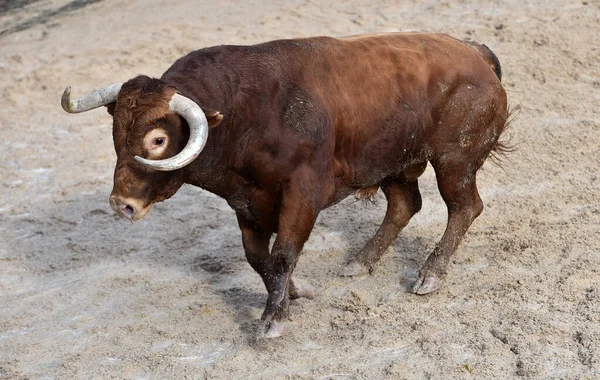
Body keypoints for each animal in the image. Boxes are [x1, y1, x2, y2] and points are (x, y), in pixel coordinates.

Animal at [62, 32, 510, 338]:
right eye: (116, 132)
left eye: (157, 140)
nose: (121, 203)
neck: (244, 116)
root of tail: (473, 52)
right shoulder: (245, 204)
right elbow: (258, 259)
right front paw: (295, 292)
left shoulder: (302, 193)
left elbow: (281, 254)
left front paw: (272, 319)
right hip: (395, 162)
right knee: (404, 204)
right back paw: (359, 261)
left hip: (454, 161)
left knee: (463, 207)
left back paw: (429, 275)